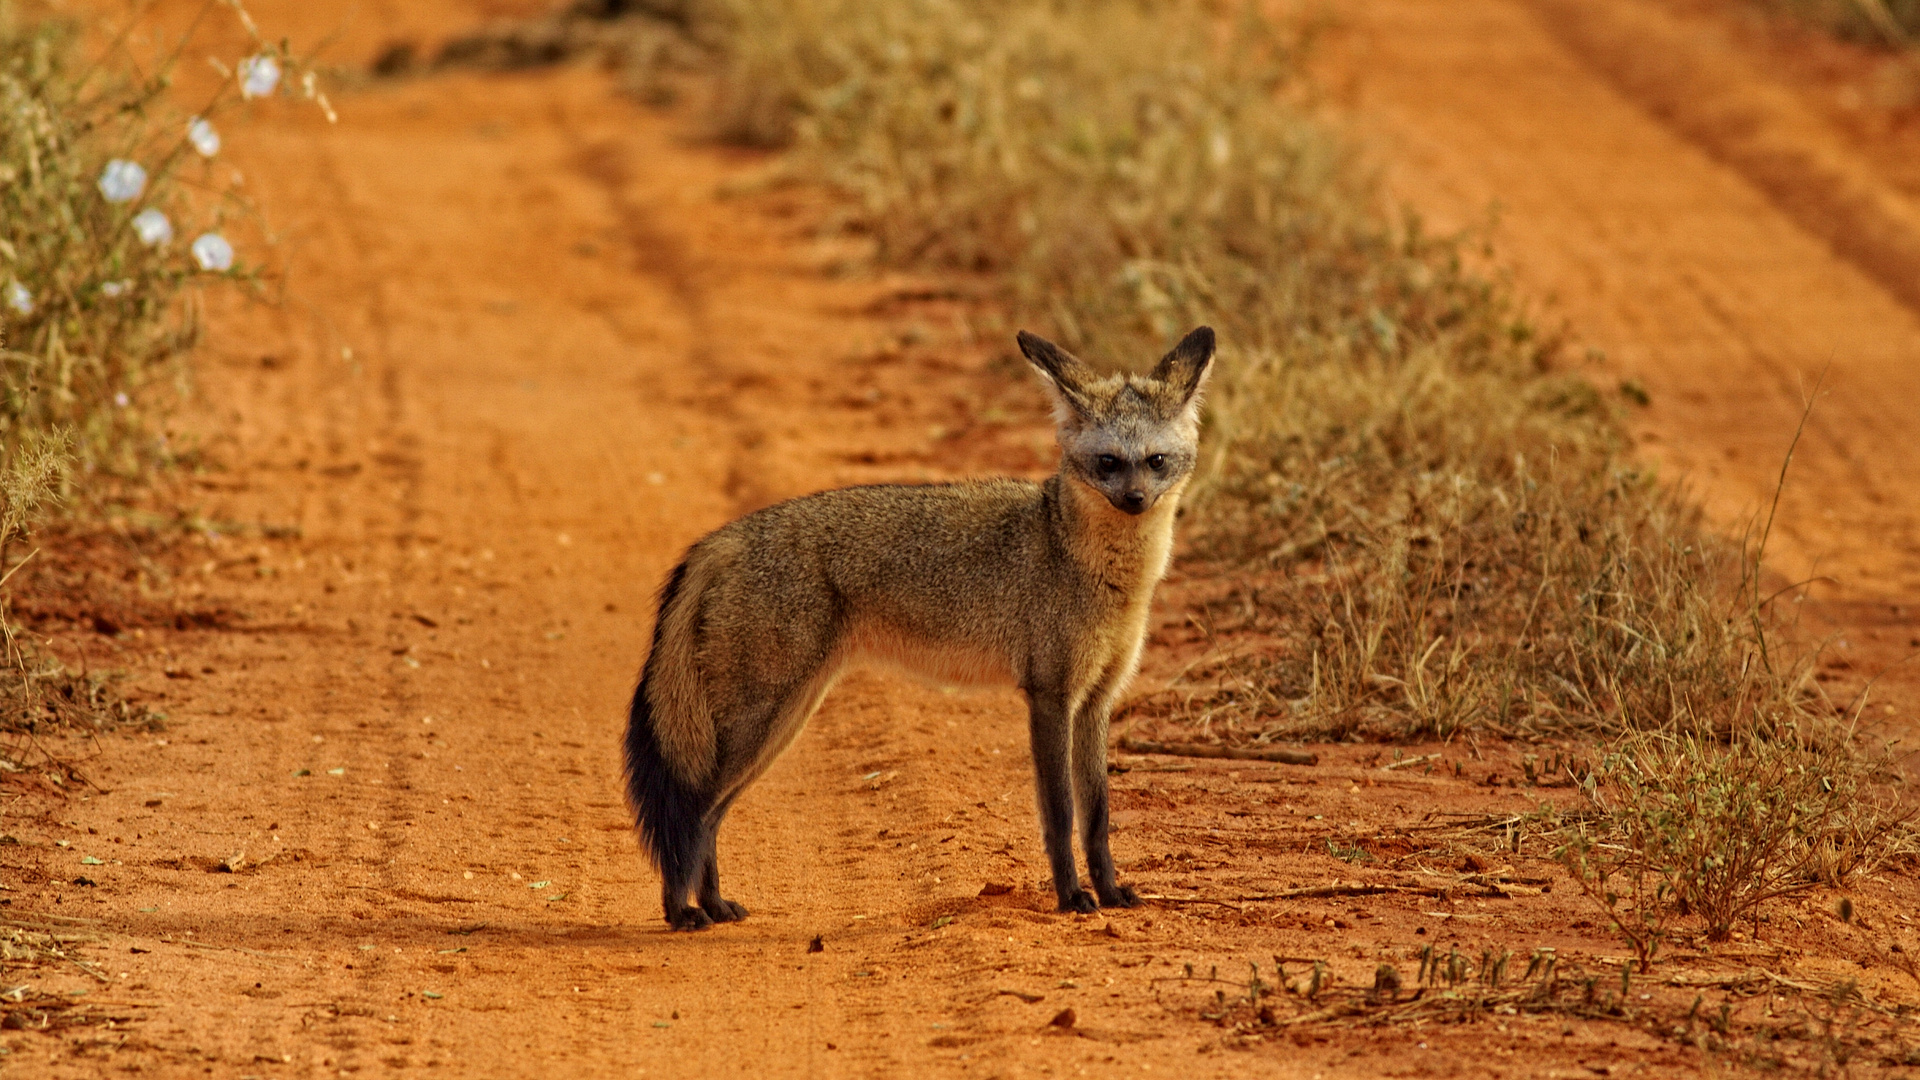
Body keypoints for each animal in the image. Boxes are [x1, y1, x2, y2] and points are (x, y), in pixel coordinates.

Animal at [622, 320, 1205, 926]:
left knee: (708, 818)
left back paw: (712, 904)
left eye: (1156, 461)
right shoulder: (1049, 696)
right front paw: (1071, 897)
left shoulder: (1096, 700)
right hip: (765, 721)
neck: (1094, 566)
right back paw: (681, 911)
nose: (1135, 500)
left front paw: (1110, 891)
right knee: (692, 813)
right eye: (1109, 462)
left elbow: (1097, 816)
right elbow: (1061, 814)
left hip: (783, 721)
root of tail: (722, 538)